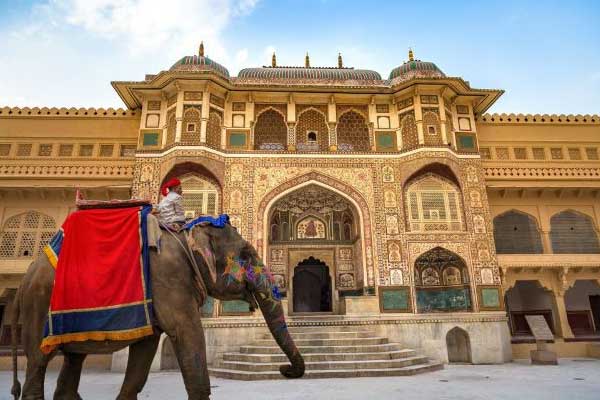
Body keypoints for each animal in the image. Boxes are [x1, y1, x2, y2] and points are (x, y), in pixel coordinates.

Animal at [11, 220, 304, 398]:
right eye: (246, 255)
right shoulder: (168, 279)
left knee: (72, 364)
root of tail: (25, 278)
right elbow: (189, 340)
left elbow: (141, 363)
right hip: (38, 304)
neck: (185, 238)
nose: (284, 370)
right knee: (38, 363)